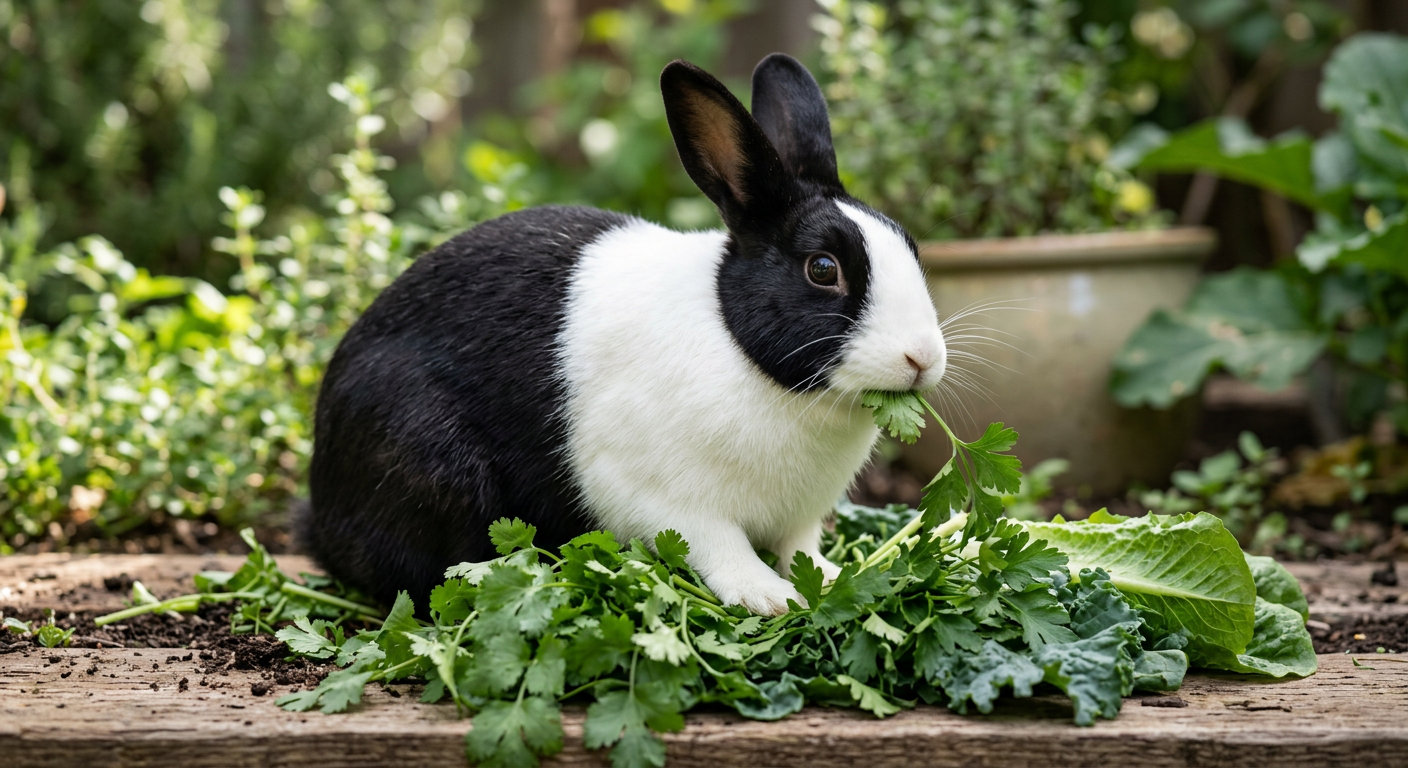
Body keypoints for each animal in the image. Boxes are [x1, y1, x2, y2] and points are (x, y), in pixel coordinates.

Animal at [302, 53, 946, 616]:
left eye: (911, 246)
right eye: (823, 269)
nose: (922, 358)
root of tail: (320, 507)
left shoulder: (799, 519)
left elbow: (800, 550)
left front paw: (835, 576)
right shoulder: (665, 497)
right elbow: (721, 545)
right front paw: (768, 597)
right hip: (433, 461)